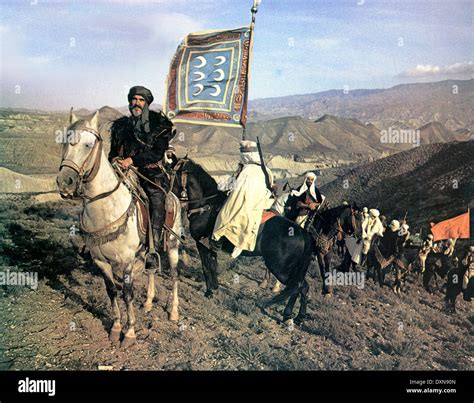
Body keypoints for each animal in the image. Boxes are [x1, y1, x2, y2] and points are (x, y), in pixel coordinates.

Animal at [56, 110, 181, 350]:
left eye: (88, 145)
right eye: (65, 142)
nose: (65, 182)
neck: (105, 207)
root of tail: (173, 196)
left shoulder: (126, 261)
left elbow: (127, 295)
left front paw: (129, 333)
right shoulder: (101, 261)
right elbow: (112, 291)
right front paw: (115, 328)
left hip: (172, 246)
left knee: (173, 275)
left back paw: (173, 312)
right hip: (148, 252)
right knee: (152, 269)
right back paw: (148, 303)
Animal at [170, 159, 352, 326]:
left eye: (172, 173)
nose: (167, 191)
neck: (206, 206)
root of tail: (302, 232)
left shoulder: (201, 243)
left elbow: (206, 266)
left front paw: (209, 292)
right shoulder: (209, 246)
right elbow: (212, 265)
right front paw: (214, 287)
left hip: (280, 268)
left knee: (299, 286)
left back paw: (290, 315)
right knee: (300, 287)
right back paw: (295, 317)